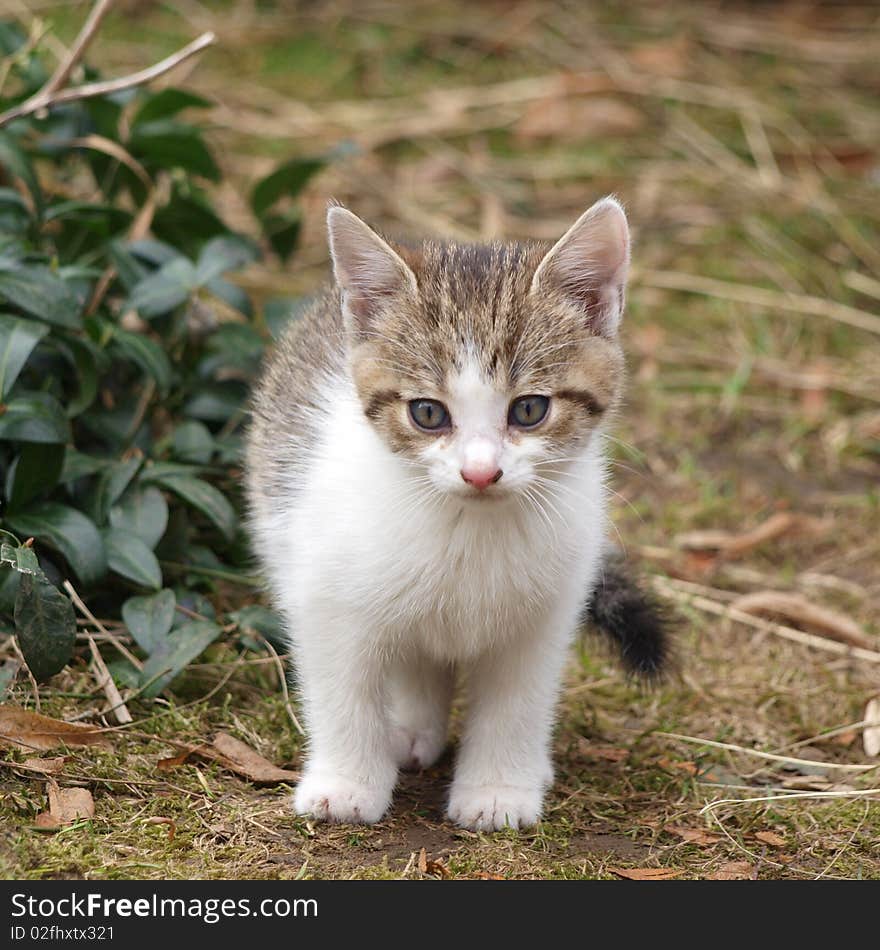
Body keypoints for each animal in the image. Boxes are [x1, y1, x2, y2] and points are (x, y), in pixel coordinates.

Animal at [244, 201, 664, 832]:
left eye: (529, 410)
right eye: (427, 413)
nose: (480, 472)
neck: (468, 529)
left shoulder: (545, 614)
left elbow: (517, 702)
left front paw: (497, 791)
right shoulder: (325, 593)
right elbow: (342, 688)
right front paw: (345, 783)